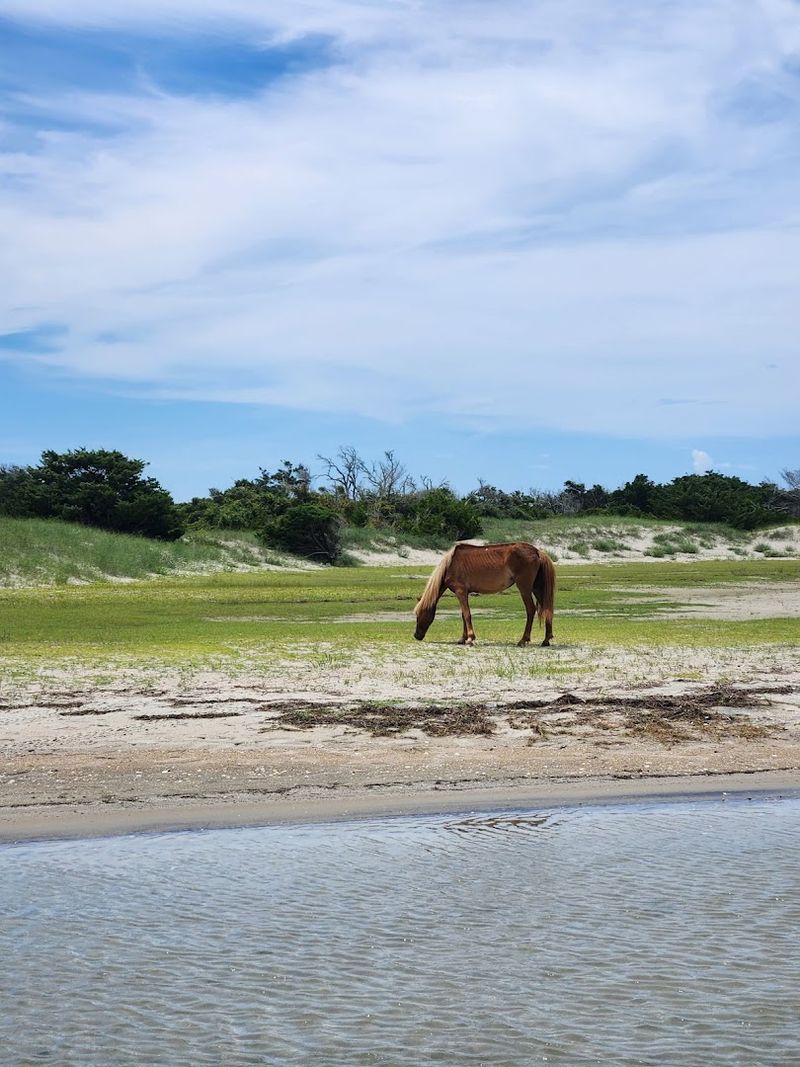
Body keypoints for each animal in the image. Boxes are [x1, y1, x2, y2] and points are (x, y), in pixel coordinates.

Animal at [414, 542, 555, 647]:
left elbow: (467, 614)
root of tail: (537, 551)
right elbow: (463, 614)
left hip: (524, 588)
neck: (450, 565)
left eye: (418, 614)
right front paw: (463, 639)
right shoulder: (464, 593)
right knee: (546, 609)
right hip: (536, 588)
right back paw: (546, 640)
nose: (416, 636)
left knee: (530, 610)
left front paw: (470, 639)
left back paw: (523, 640)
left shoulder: (461, 591)